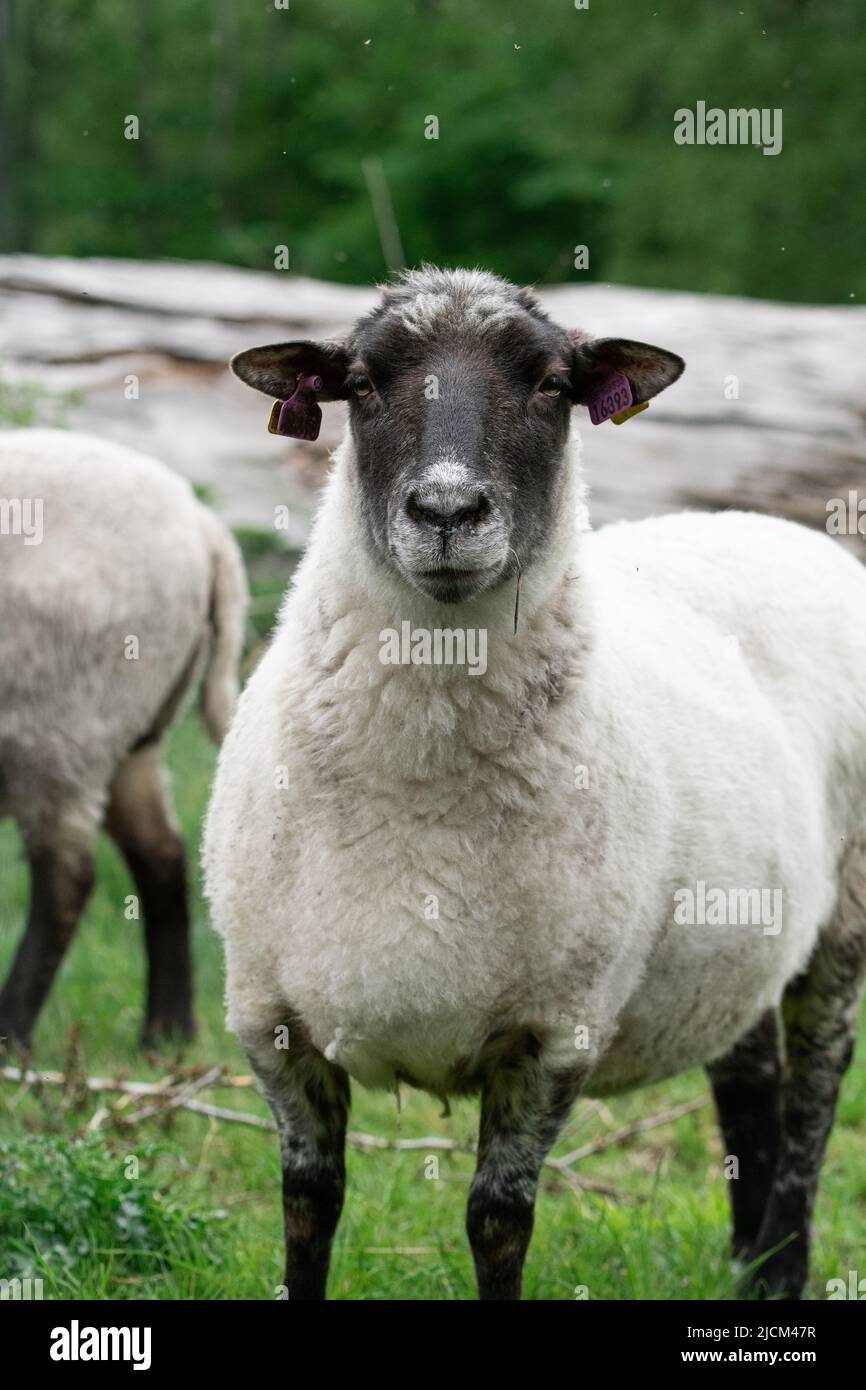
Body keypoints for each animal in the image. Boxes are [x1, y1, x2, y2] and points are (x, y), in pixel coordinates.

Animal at [0, 429, 247, 1052]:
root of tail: (205, 530)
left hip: (61, 724)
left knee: (67, 881)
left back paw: (11, 1035)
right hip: (129, 734)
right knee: (162, 855)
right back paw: (167, 1034)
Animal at [204, 267, 866, 1301]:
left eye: (552, 385)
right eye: (361, 384)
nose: (446, 512)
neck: (420, 792)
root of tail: (775, 527)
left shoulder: (554, 1033)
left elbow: (497, 1221)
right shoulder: (271, 1022)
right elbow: (308, 1206)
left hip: (845, 912)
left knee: (816, 1088)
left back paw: (780, 1271)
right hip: (738, 920)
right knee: (748, 1074)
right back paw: (746, 1261)